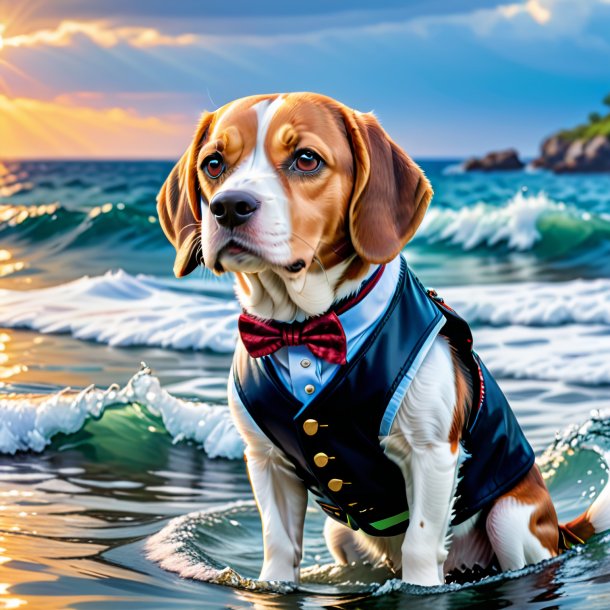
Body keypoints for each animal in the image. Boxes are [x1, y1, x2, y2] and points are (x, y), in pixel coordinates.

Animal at [156, 90, 604, 584]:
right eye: (214, 164)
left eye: (306, 159)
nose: (229, 206)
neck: (302, 329)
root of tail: (560, 528)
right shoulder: (267, 462)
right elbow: (279, 546)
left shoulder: (432, 454)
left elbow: (421, 547)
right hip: (338, 534)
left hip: (509, 517)